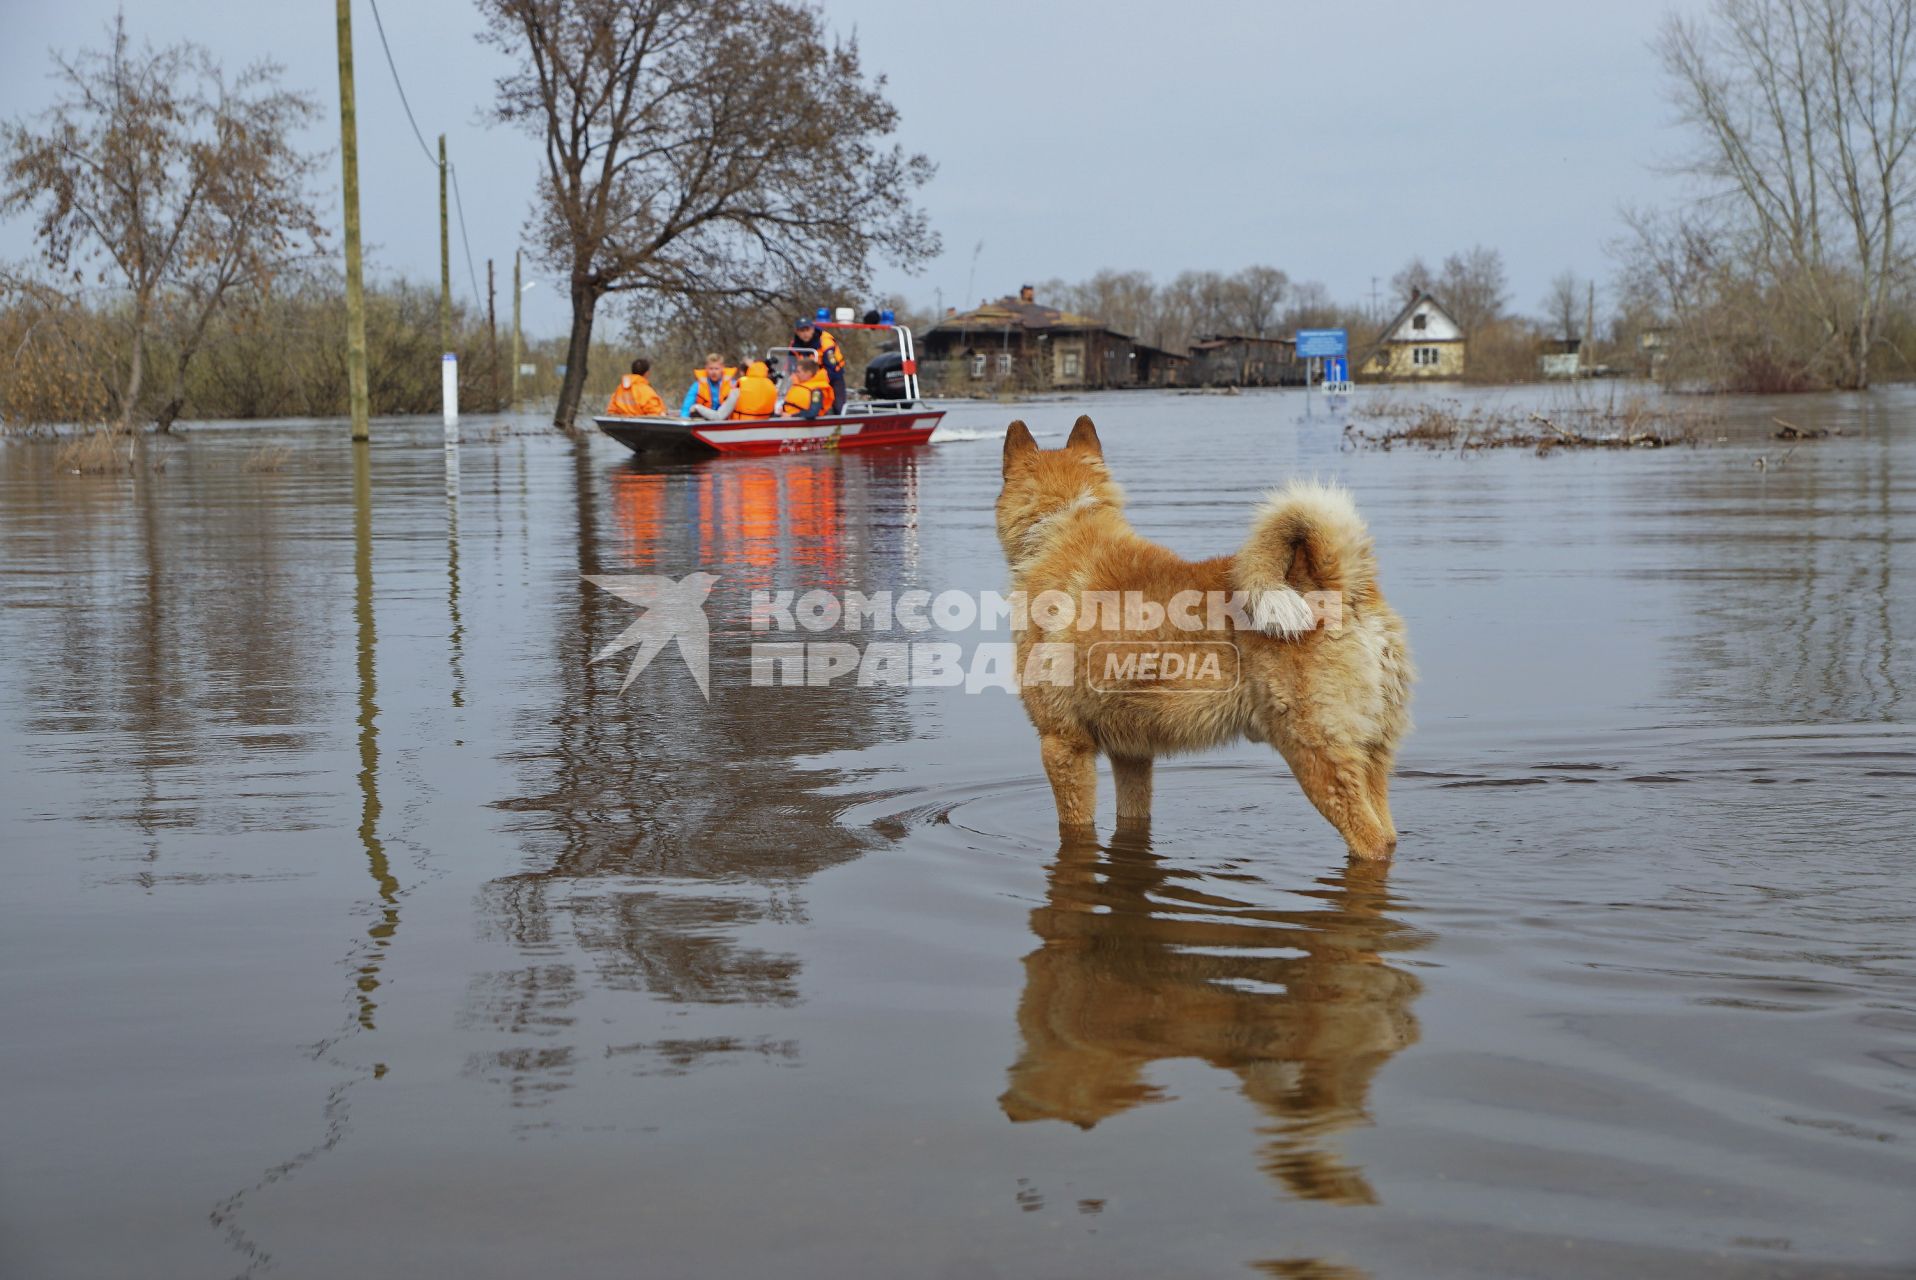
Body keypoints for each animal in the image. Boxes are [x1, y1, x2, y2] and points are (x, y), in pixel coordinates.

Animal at [996, 417, 1417, 858]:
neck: (1060, 527)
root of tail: (1340, 584)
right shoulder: (1131, 753)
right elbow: (1132, 813)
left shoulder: (1063, 745)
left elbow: (1076, 828)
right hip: (1371, 757)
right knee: (1387, 834)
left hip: (1317, 757)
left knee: (1370, 841)